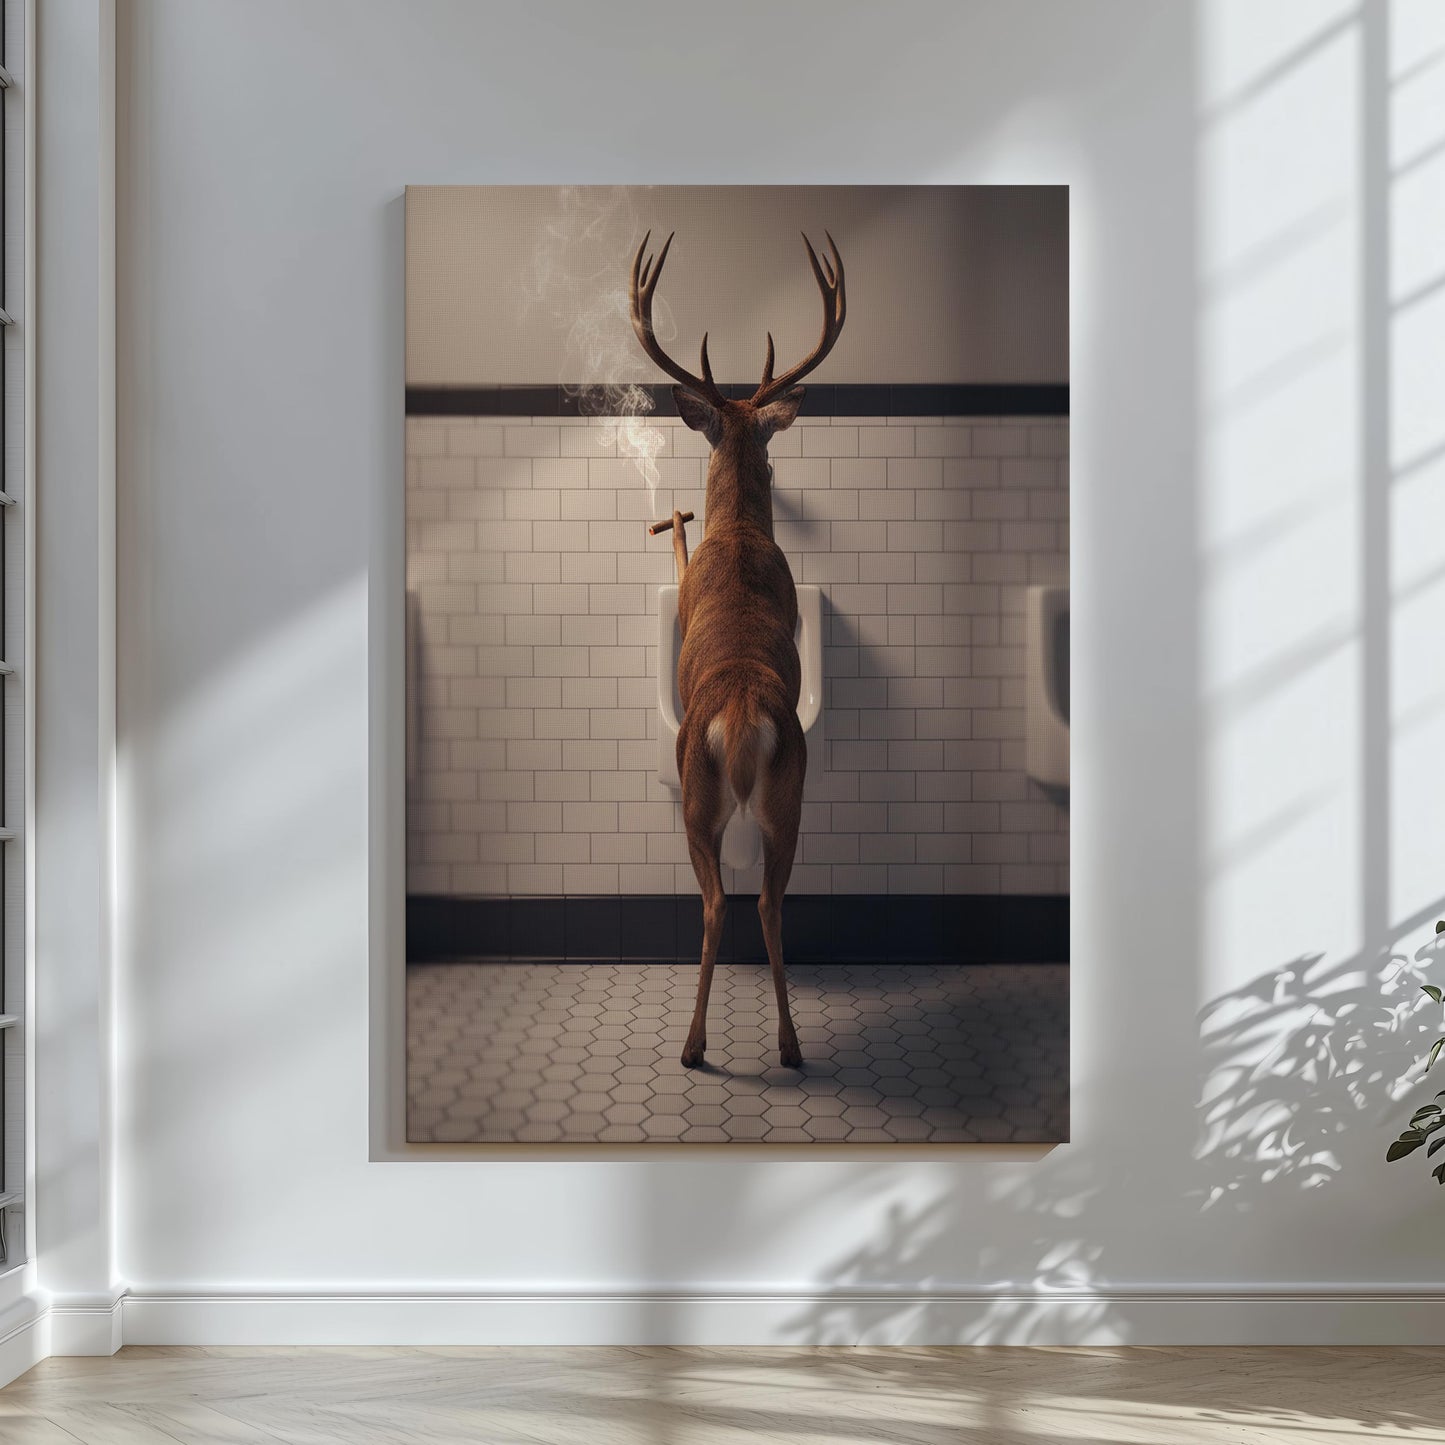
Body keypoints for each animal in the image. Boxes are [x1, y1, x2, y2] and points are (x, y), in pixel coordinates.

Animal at [629, 228, 846, 1069]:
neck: (741, 530)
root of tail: (746, 712)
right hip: (794, 794)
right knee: (773, 901)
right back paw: (788, 1044)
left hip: (698, 797)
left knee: (720, 901)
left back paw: (693, 1046)